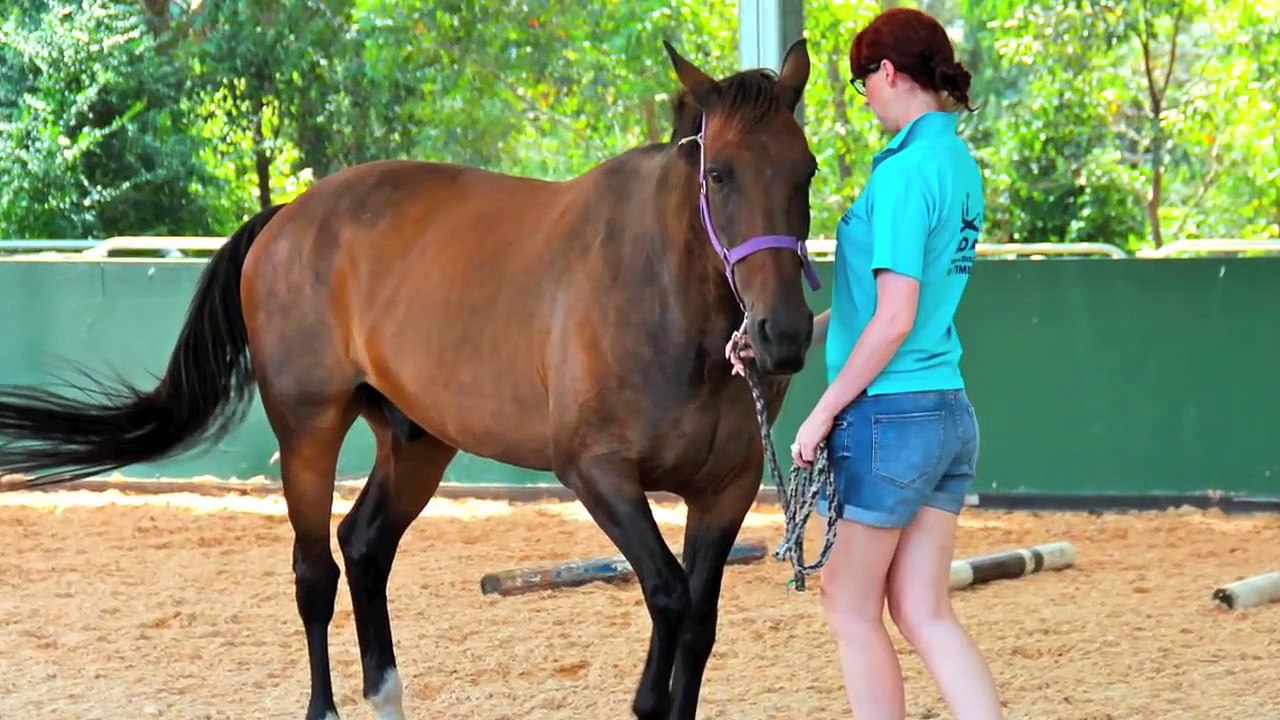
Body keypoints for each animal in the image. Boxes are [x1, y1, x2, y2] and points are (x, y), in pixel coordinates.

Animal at [0, 38, 820, 720]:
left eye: (805, 171)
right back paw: (325, 708)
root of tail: (288, 216)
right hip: (308, 429)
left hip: (417, 440)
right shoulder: (598, 474)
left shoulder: (726, 490)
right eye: (719, 174)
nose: (782, 335)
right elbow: (668, 596)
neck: (666, 302)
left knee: (363, 545)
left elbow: (699, 620)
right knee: (315, 571)